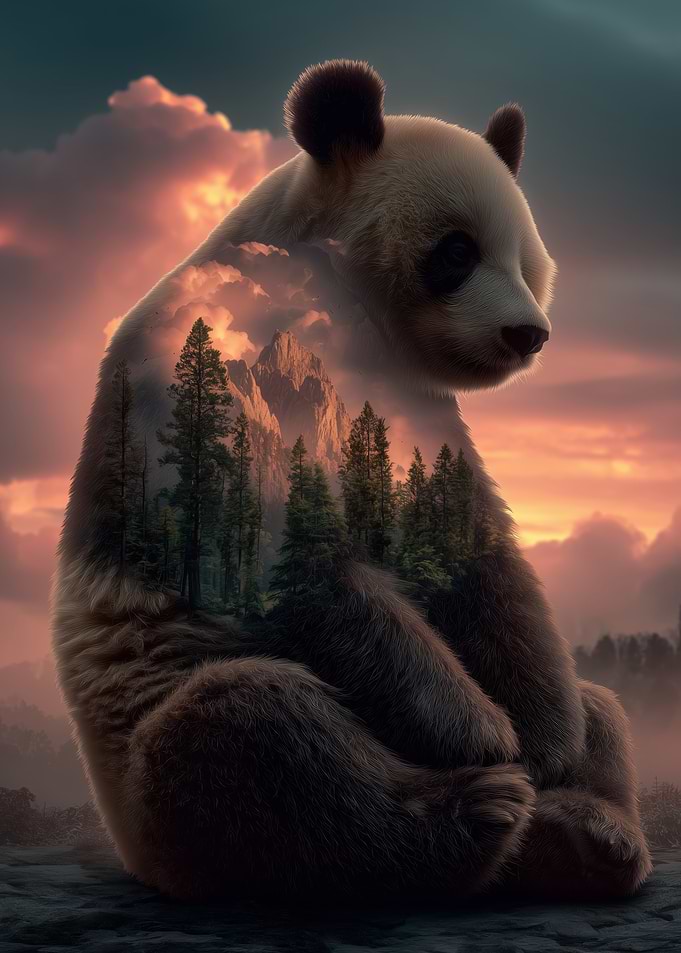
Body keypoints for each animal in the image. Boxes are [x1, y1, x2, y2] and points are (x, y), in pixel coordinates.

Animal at [52, 60, 651, 902]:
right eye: (456, 251)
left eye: (529, 262)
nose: (526, 333)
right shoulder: (208, 370)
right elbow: (293, 561)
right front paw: (480, 731)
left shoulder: (417, 410)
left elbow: (476, 551)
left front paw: (541, 736)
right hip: (147, 725)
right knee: (257, 739)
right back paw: (478, 809)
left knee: (602, 706)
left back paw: (586, 831)